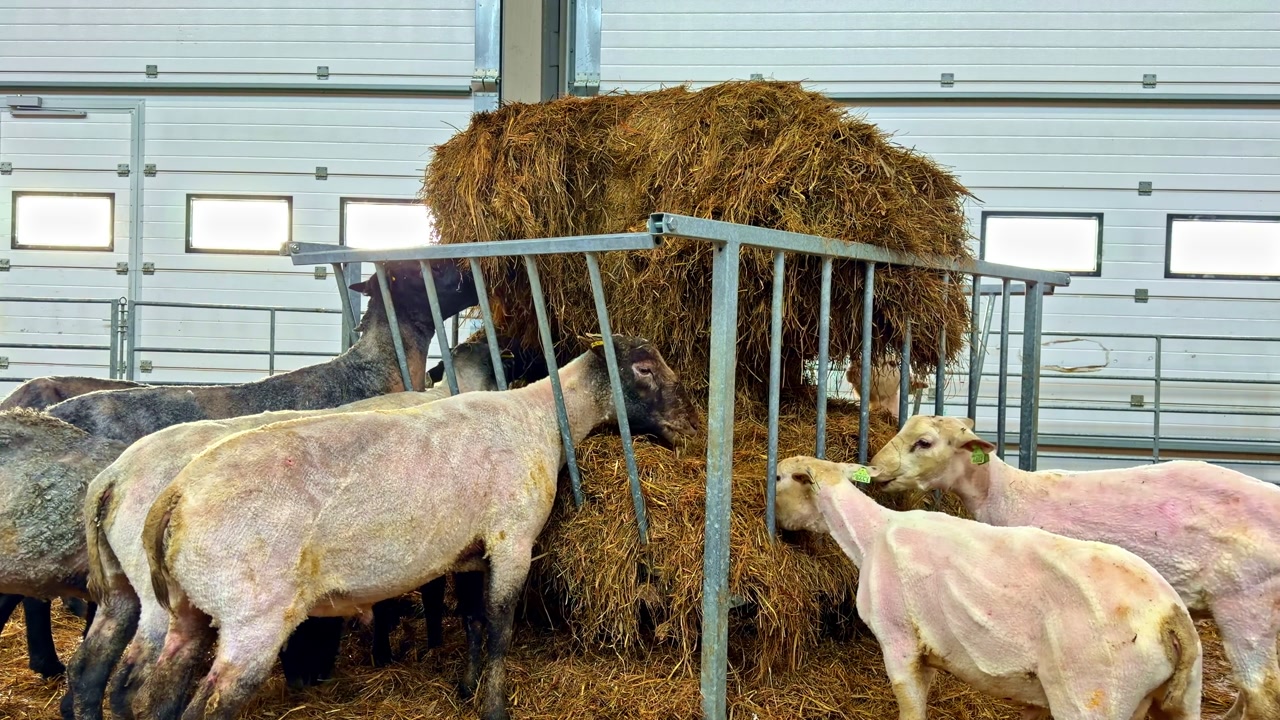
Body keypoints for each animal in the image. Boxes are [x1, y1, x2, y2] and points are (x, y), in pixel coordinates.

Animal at [133, 336, 699, 720]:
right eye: (644, 368)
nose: (690, 426)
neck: (540, 417)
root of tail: (175, 496)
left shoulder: (470, 552)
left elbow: (472, 621)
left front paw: (466, 688)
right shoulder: (512, 539)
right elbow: (500, 629)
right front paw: (494, 706)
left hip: (189, 610)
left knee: (161, 690)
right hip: (254, 615)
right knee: (210, 704)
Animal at [775, 454, 1202, 720]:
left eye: (779, 478)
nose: (778, 525)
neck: (870, 533)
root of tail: (1170, 618)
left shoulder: (899, 642)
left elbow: (910, 708)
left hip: (1095, 694)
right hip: (1182, 698)